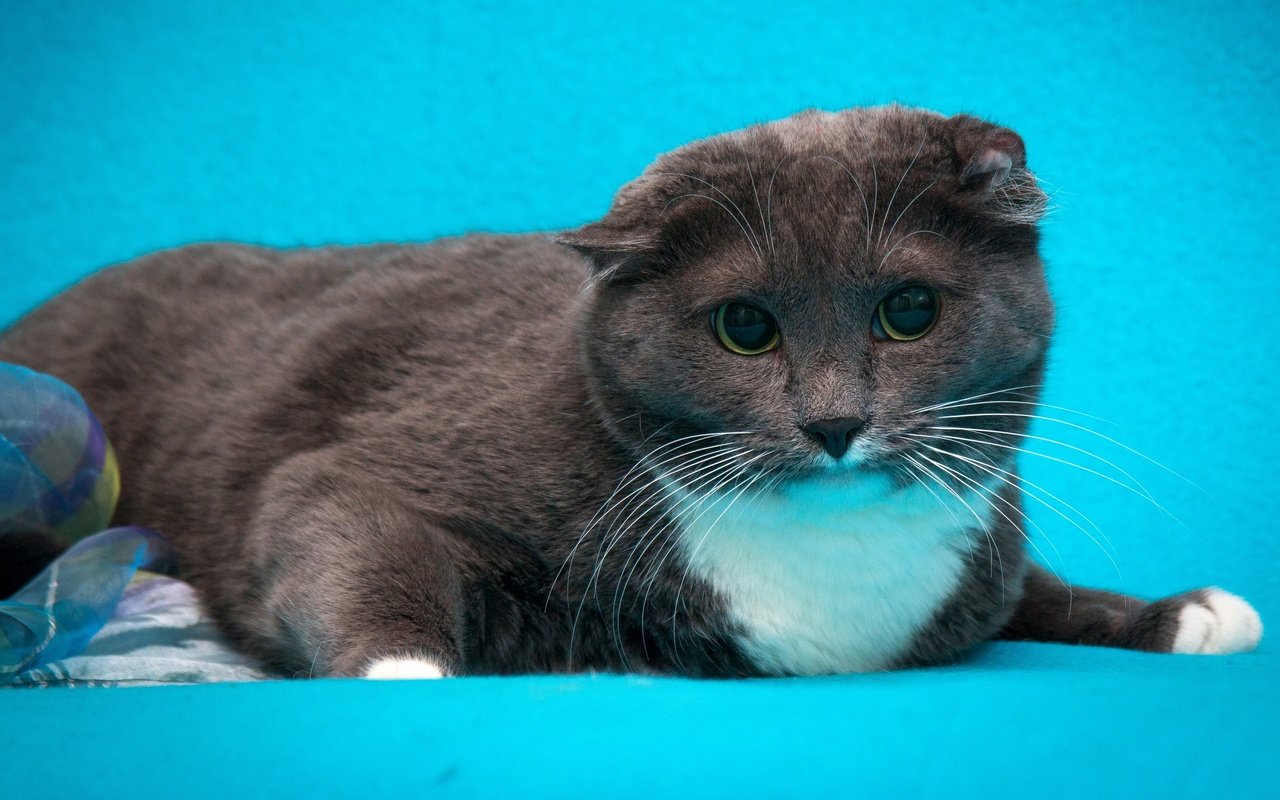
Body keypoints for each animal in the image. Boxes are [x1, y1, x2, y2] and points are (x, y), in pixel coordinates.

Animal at [0, 104, 1259, 675]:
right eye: (744, 326)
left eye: (907, 311)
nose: (834, 418)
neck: (834, 566)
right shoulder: (369, 457)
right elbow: (341, 523)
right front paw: (406, 667)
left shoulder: (980, 553)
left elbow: (1037, 593)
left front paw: (1178, 609)